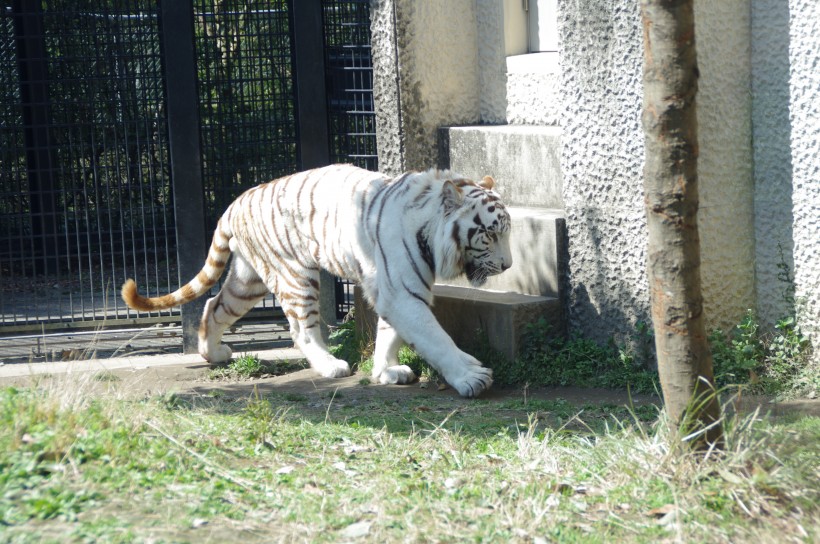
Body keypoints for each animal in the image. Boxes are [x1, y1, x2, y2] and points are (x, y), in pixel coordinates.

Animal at [121, 164, 510, 398]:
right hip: (295, 276)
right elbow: (435, 338)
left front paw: (384, 371)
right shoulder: (403, 293)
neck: (430, 230)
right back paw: (329, 365)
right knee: (301, 331)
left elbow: (389, 334)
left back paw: (212, 353)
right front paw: (471, 377)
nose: (507, 265)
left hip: (248, 281)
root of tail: (234, 204)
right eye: (490, 234)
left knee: (214, 306)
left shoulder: (392, 290)